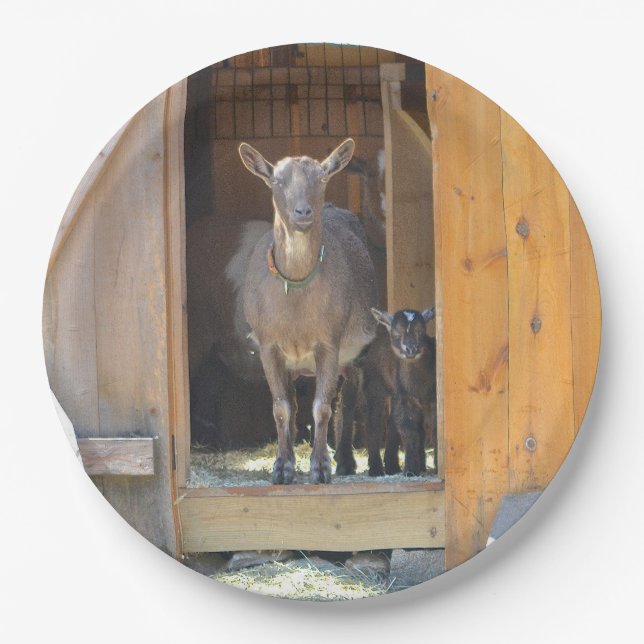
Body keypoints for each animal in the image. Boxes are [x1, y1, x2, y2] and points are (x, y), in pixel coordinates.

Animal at [238, 139, 378, 484]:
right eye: (277, 180)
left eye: (322, 177)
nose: (302, 212)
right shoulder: (268, 344)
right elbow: (281, 407)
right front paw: (281, 468)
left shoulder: (329, 340)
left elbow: (322, 407)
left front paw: (320, 468)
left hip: (357, 353)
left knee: (349, 399)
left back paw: (345, 460)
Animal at [363, 307, 437, 477]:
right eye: (396, 334)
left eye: (421, 331)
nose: (411, 349)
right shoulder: (405, 398)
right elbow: (408, 430)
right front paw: (410, 469)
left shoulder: (433, 399)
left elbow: (435, 430)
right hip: (374, 385)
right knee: (373, 422)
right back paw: (376, 468)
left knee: (394, 424)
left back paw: (394, 466)